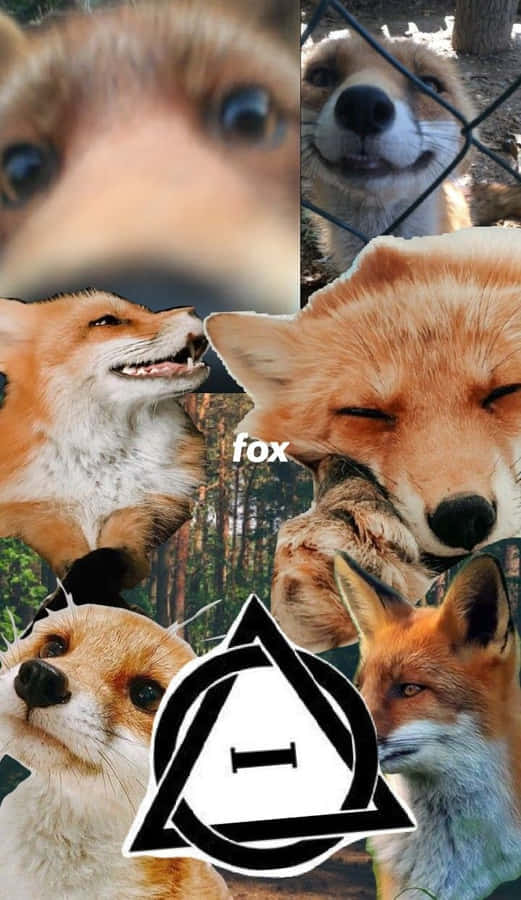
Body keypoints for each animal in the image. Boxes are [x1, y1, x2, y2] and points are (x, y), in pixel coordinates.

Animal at [0, 288, 208, 585]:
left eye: (145, 310)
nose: (195, 311)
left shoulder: (142, 510)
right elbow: (65, 554)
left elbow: (112, 553)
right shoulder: (37, 514)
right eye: (107, 321)